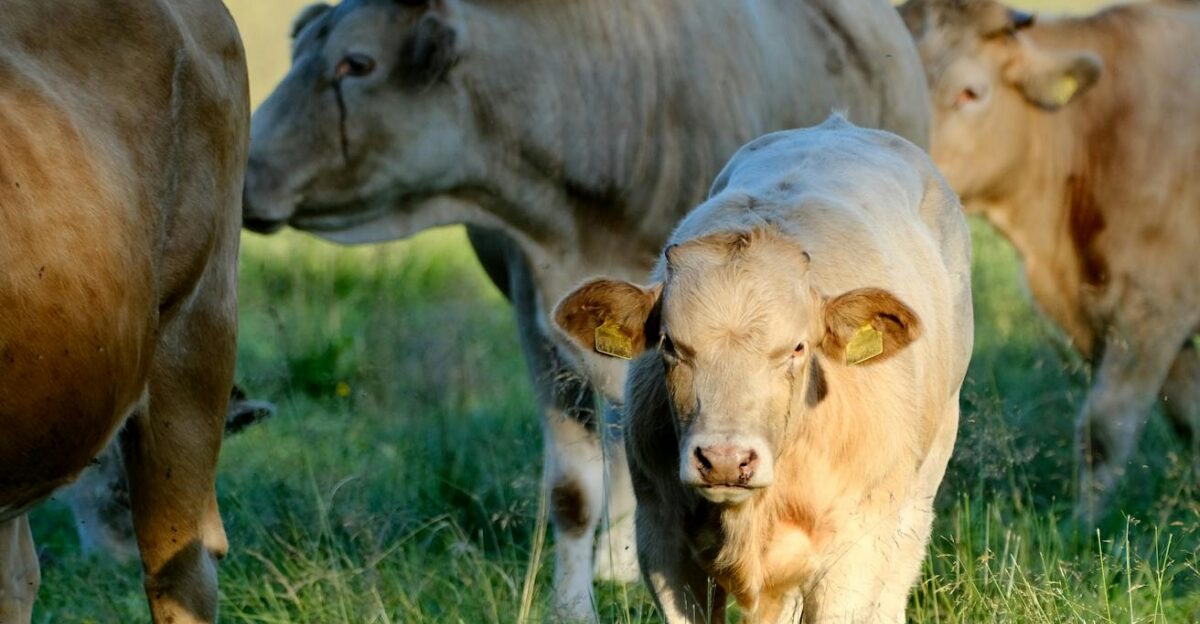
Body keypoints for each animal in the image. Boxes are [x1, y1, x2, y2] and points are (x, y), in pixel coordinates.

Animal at [553, 118, 973, 623]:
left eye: (797, 347)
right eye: (669, 344)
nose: (724, 459)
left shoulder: (856, 554)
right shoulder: (663, 543)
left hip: (921, 487)